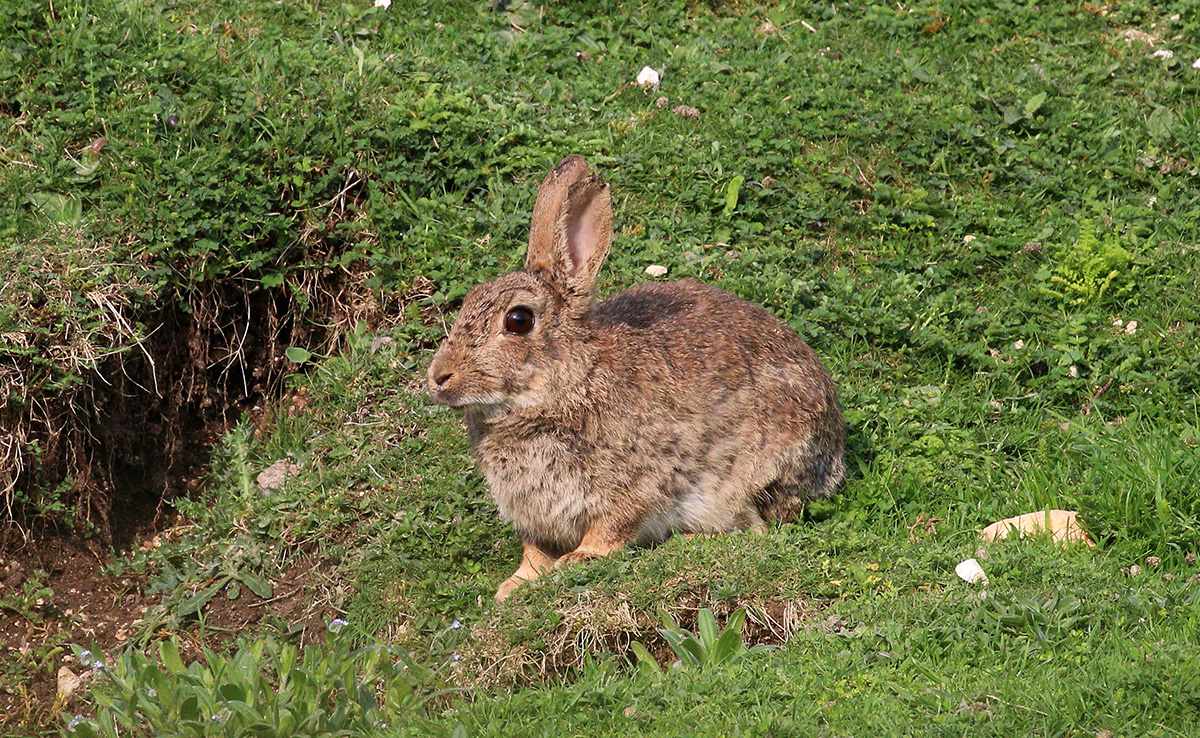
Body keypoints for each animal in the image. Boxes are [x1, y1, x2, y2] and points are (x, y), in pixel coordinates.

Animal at [429, 154, 844, 600]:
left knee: (759, 528)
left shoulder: (635, 484)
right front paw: (514, 586)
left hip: (758, 471)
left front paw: (579, 559)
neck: (571, 382)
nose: (439, 377)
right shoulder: (535, 517)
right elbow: (534, 552)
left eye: (518, 320)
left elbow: (612, 527)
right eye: (468, 301)